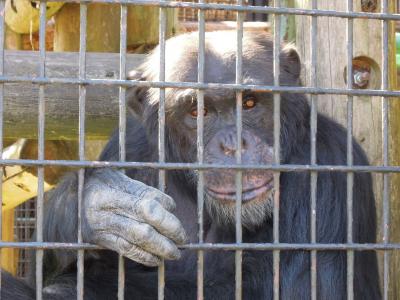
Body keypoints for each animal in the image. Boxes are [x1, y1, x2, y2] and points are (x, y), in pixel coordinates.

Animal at [0, 31, 382, 300]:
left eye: (249, 102)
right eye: (198, 111)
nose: (233, 143)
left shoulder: (330, 167)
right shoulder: (129, 144)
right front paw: (97, 204)